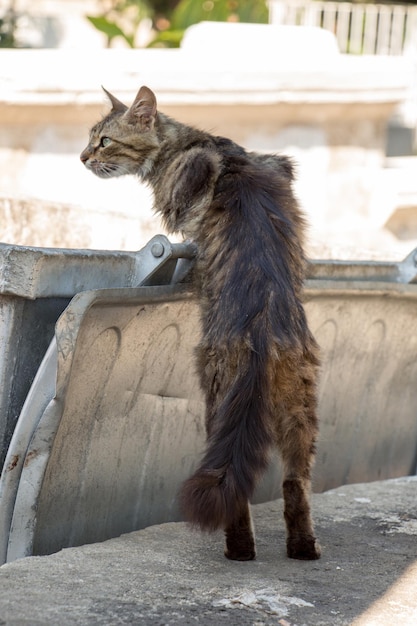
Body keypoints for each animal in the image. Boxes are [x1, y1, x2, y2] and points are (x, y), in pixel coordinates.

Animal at [82, 84, 322, 560]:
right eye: (91, 140)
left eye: (103, 141)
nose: (82, 157)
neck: (191, 141)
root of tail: (261, 332)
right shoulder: (281, 166)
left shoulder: (192, 179)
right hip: (301, 406)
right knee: (294, 481)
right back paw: (304, 548)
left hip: (216, 396)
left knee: (235, 490)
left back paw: (239, 550)